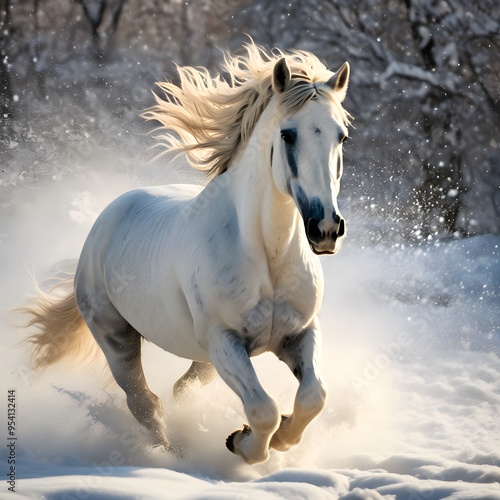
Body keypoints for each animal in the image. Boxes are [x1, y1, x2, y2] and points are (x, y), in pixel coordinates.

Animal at [24, 43, 352, 464]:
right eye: (288, 134)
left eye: (342, 137)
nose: (326, 228)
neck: (268, 257)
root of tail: (106, 220)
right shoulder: (224, 340)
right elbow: (262, 409)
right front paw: (242, 442)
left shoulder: (299, 334)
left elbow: (313, 397)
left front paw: (279, 438)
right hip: (117, 337)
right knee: (144, 403)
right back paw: (171, 453)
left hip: (203, 357)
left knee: (182, 390)